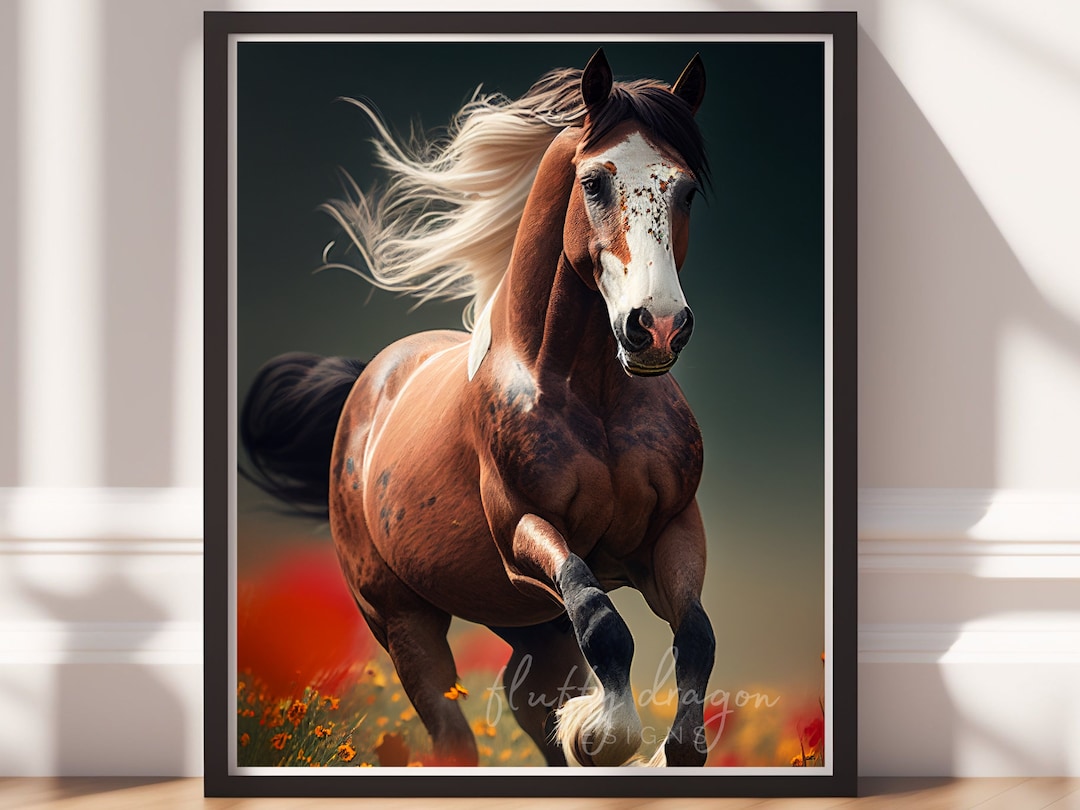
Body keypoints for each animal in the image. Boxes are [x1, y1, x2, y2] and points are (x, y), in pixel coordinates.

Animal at [240, 49, 715, 768]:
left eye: (685, 190)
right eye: (595, 183)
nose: (657, 327)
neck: (593, 396)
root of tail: (366, 387)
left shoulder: (672, 531)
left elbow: (697, 639)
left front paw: (653, 745)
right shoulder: (525, 532)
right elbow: (602, 621)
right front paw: (600, 732)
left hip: (531, 629)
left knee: (530, 708)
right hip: (406, 624)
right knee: (452, 735)